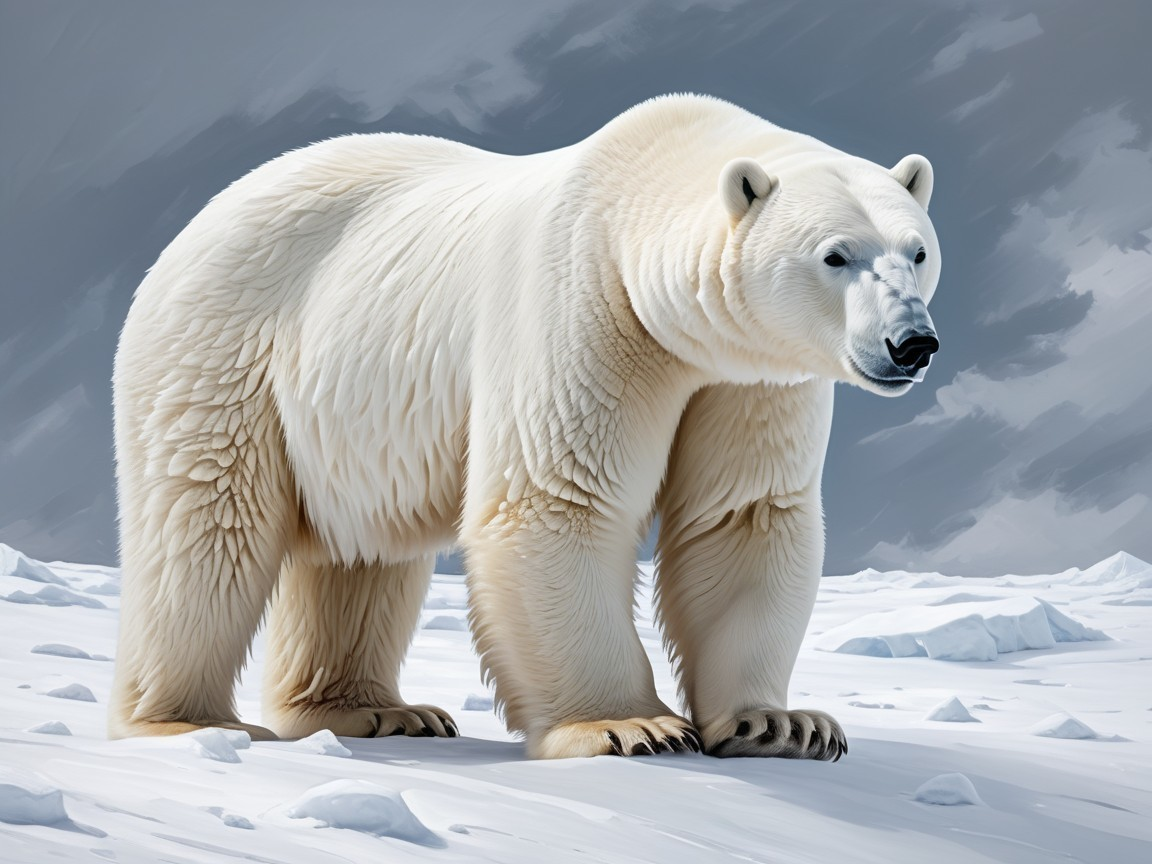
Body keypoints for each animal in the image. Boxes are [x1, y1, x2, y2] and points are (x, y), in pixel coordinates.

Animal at [109, 93, 941, 760]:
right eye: (835, 255)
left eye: (919, 250)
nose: (913, 343)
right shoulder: (585, 307)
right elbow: (558, 499)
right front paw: (628, 725)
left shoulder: (749, 377)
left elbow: (743, 516)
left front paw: (780, 724)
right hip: (223, 350)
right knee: (208, 527)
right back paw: (184, 721)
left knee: (362, 551)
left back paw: (376, 709)